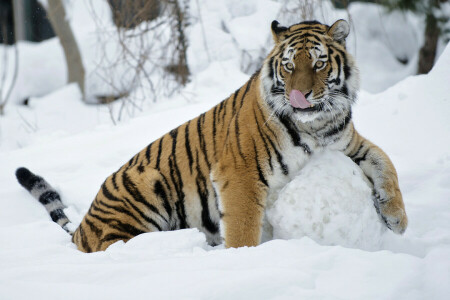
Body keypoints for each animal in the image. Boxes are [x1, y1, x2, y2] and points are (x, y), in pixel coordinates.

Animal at [14, 19, 408, 253]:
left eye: (319, 63)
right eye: (288, 66)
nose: (301, 95)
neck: (316, 125)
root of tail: (82, 228)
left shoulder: (349, 143)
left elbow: (386, 162)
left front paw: (398, 220)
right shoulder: (241, 173)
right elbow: (244, 225)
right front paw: (242, 258)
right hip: (144, 187)